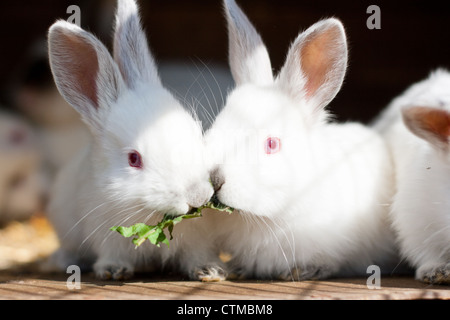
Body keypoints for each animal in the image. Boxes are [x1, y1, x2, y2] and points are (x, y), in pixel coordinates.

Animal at [44, 0, 225, 280]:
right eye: (133, 159)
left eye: (196, 133)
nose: (197, 195)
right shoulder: (106, 234)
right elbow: (111, 255)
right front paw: (113, 270)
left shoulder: (198, 240)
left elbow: (197, 255)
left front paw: (210, 270)